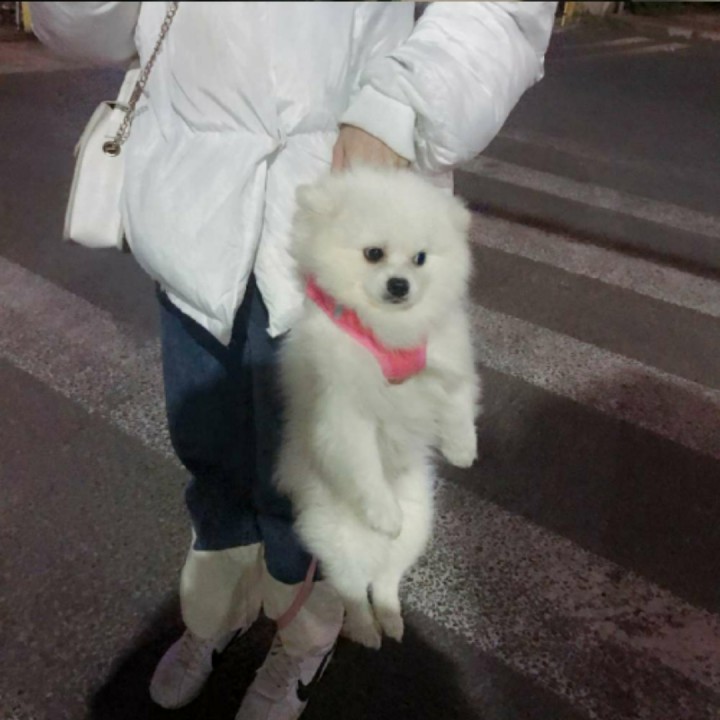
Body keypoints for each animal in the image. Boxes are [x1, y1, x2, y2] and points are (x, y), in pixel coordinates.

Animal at [276, 166, 481, 648]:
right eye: (374, 254)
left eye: (420, 259)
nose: (399, 285)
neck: (388, 333)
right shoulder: (343, 408)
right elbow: (364, 462)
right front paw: (383, 511)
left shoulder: (444, 357)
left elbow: (460, 398)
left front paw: (462, 448)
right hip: (336, 539)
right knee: (353, 589)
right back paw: (367, 628)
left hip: (420, 519)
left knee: (387, 580)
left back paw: (390, 618)